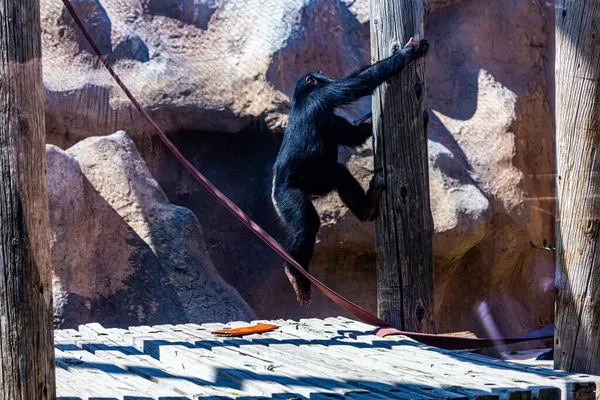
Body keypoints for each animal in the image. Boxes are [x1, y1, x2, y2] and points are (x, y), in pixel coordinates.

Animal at [270, 38, 428, 306]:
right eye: (320, 75)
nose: (325, 73)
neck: (304, 96)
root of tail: (274, 192)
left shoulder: (334, 120)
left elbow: (354, 133)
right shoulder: (325, 96)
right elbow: (358, 83)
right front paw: (411, 51)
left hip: (318, 183)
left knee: (339, 173)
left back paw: (367, 207)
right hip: (288, 196)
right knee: (306, 224)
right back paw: (296, 274)